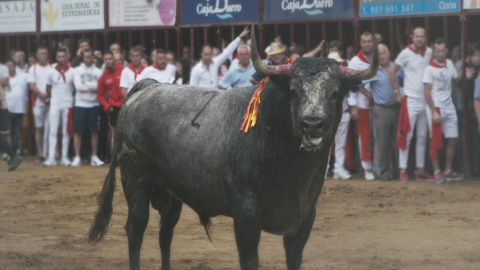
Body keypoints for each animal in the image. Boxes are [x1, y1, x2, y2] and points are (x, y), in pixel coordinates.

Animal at [90, 30, 378, 268]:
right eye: (294, 91)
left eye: (335, 92)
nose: (313, 124)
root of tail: (147, 87)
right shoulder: (246, 216)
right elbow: (250, 260)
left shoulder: (304, 220)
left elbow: (294, 259)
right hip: (136, 182)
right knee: (136, 230)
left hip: (172, 192)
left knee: (165, 233)